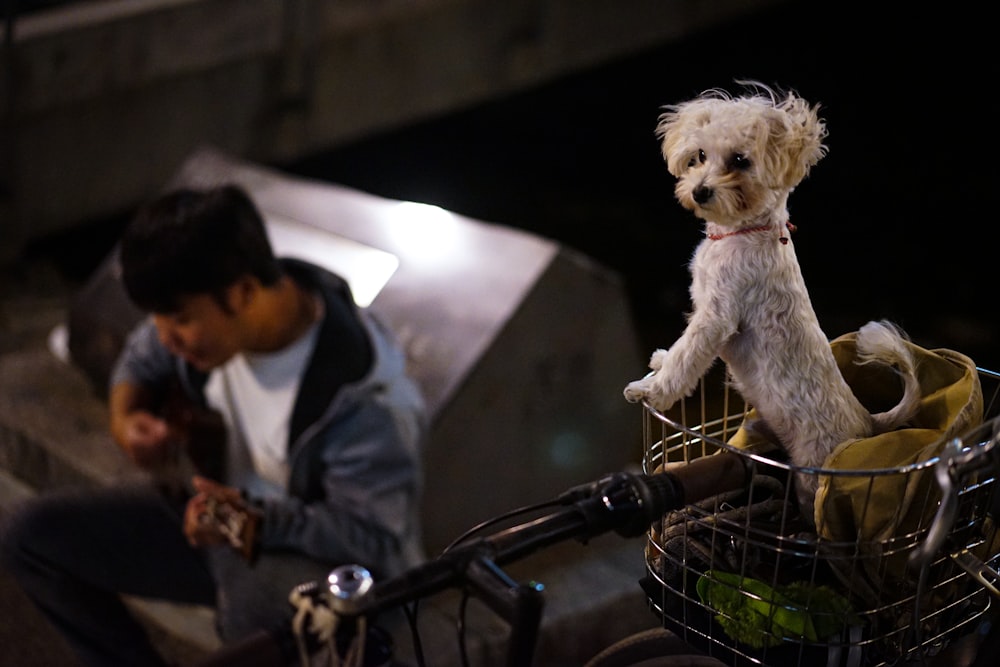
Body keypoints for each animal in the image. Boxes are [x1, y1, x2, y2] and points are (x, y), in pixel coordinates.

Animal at [624, 82, 920, 520]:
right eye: (699, 156)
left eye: (740, 161)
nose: (699, 191)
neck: (740, 233)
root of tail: (867, 423)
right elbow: (678, 349)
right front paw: (659, 360)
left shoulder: (715, 318)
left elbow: (686, 357)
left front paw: (652, 390)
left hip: (811, 478)